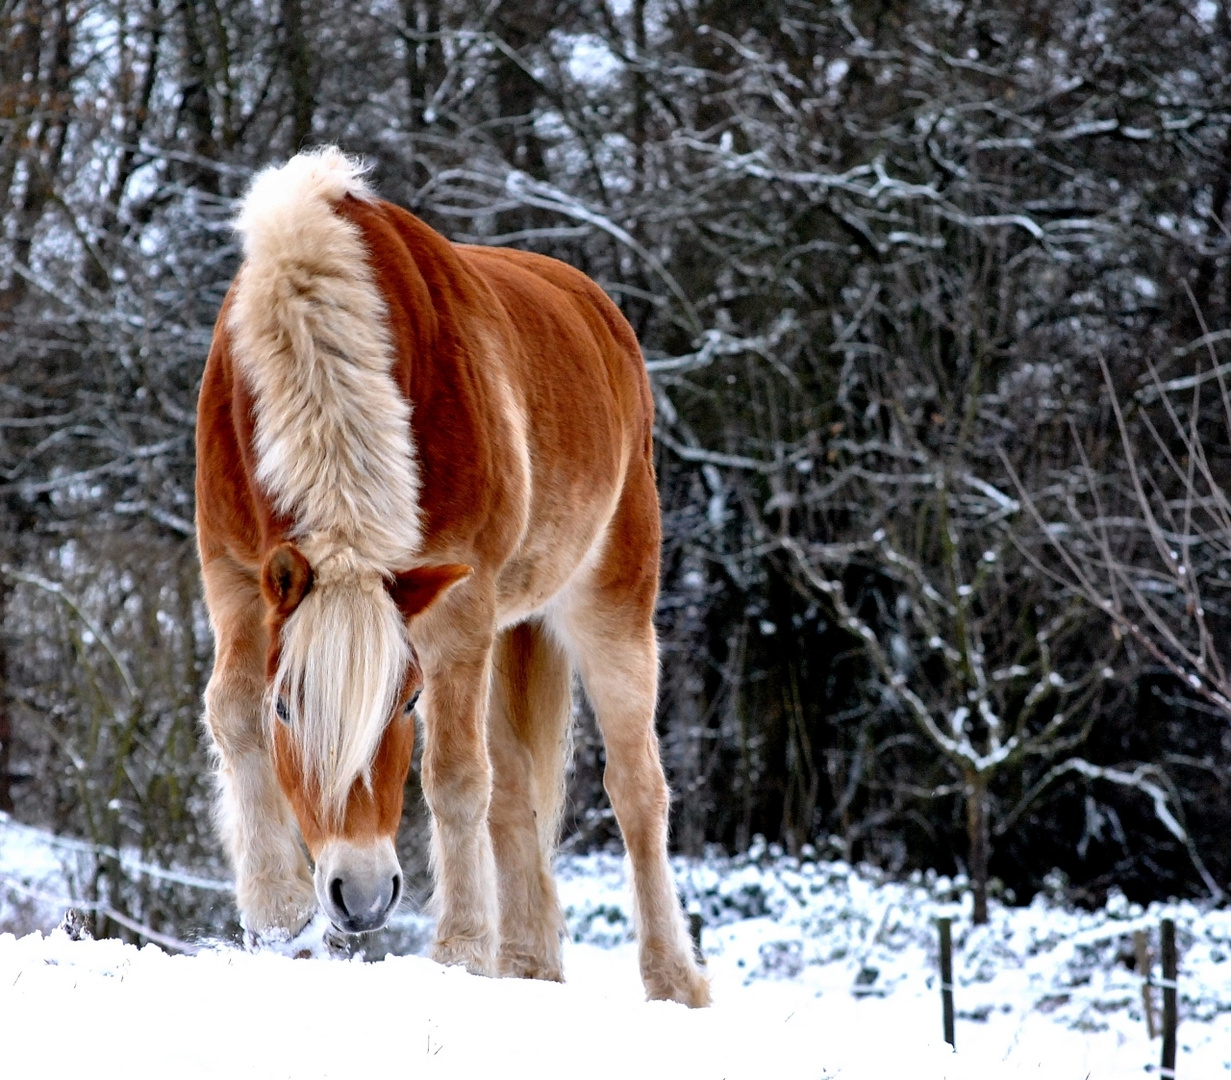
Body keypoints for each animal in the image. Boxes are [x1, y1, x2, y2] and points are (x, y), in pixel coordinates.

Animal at [194, 147, 713, 1004]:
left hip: (609, 611)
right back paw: (529, 968)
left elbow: (457, 778)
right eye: (287, 709)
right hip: (505, 629)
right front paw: (278, 919)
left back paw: (673, 980)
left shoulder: (456, 607)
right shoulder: (235, 580)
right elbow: (230, 714)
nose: (362, 897)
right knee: (518, 788)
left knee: (637, 791)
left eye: (406, 703)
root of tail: (600, 316)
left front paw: (462, 950)